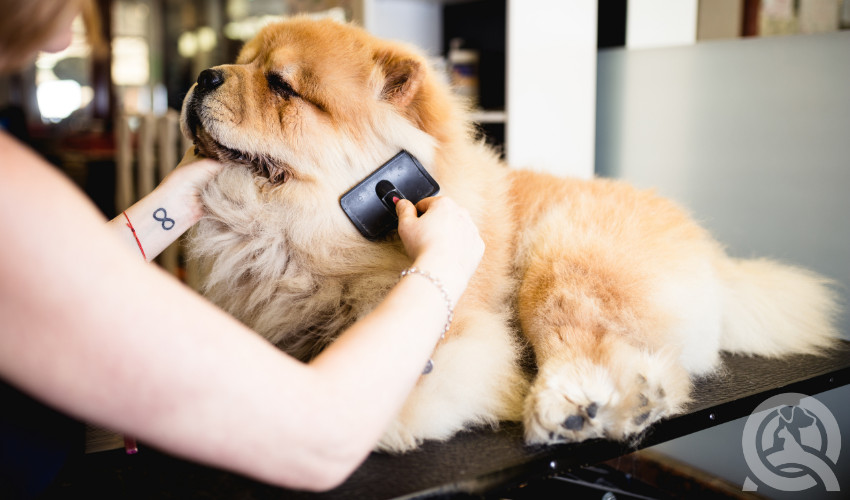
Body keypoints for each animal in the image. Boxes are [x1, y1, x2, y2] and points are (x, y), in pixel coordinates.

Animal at [179, 17, 836, 452]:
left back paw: (568, 406)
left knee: (586, 343)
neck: (294, 239)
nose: (203, 75)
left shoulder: (457, 329)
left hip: (559, 260)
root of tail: (714, 258)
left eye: (281, 85)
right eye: (241, 61)